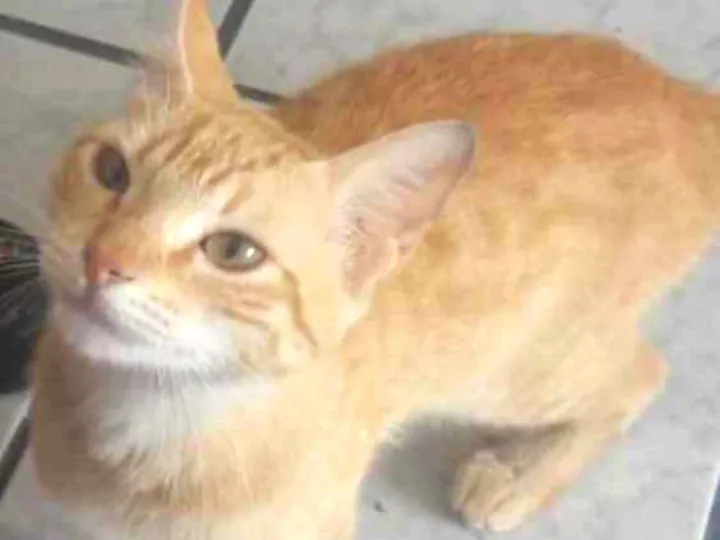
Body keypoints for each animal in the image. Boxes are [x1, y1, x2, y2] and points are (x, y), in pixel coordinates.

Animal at [31, 0, 720, 538]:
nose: (102, 259)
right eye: (111, 172)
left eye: (233, 252)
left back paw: (519, 477)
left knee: (642, 374)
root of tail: (684, 100)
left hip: (514, 371)